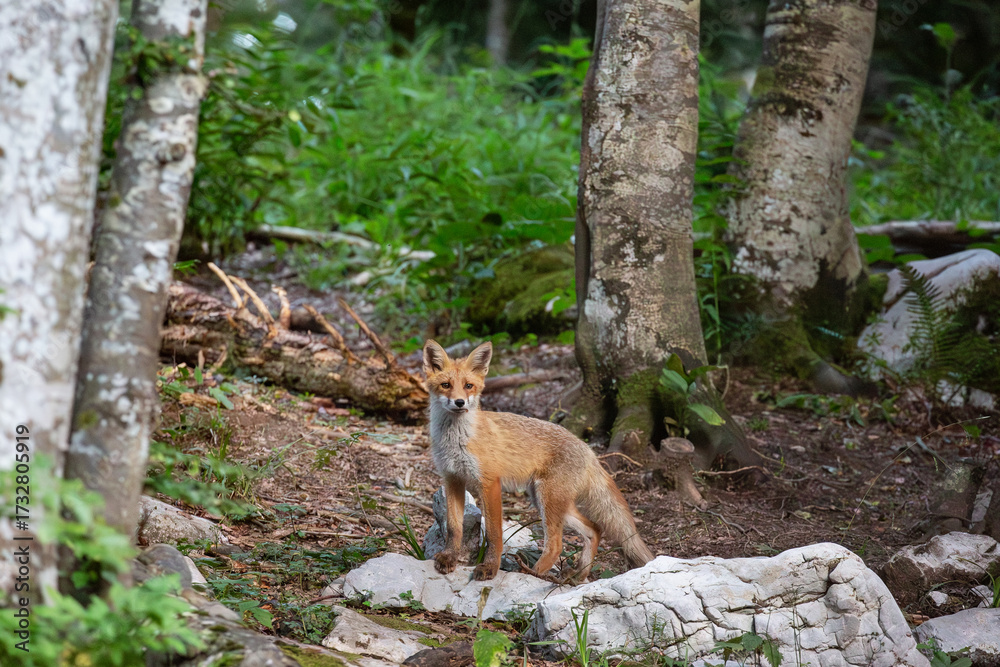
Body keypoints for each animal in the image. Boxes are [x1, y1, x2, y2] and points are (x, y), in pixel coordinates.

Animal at [423, 339, 655, 582]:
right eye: (446, 385)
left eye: (468, 386)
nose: (459, 402)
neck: (457, 440)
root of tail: (587, 448)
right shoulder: (452, 479)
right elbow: (453, 527)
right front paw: (449, 557)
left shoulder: (489, 483)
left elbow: (495, 535)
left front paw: (490, 567)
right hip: (545, 500)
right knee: (595, 529)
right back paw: (578, 574)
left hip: (548, 500)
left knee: (556, 545)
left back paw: (533, 573)